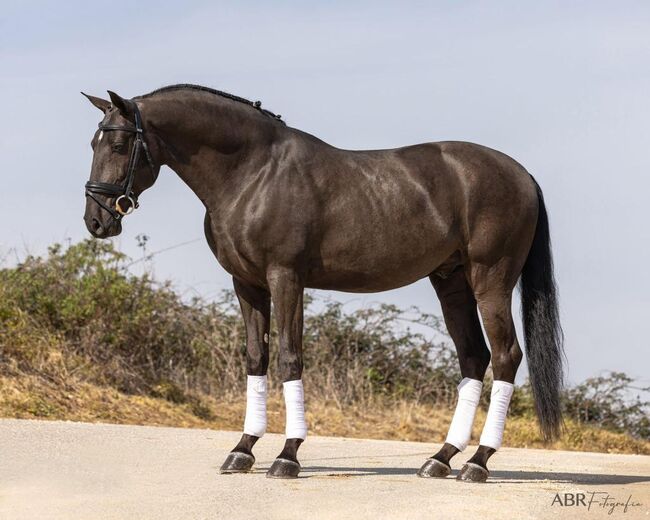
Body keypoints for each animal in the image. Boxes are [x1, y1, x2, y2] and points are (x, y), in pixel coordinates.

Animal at [81, 83, 560, 482]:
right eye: (93, 142)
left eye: (120, 144)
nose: (97, 220)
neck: (252, 173)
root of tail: (522, 174)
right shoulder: (247, 284)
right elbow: (256, 358)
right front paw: (243, 450)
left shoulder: (286, 278)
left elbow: (290, 358)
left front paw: (287, 456)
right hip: (451, 282)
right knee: (473, 358)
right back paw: (440, 458)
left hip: (491, 279)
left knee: (505, 356)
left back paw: (478, 463)